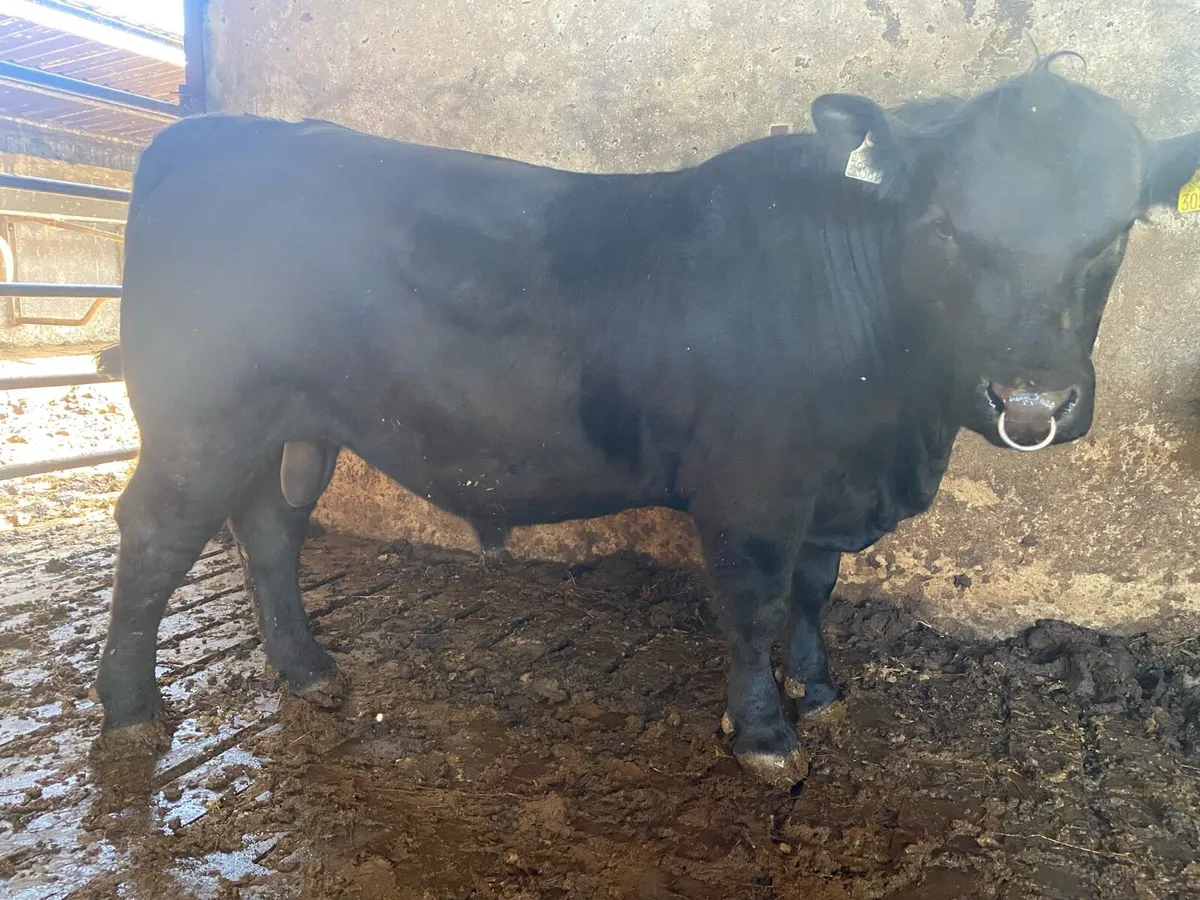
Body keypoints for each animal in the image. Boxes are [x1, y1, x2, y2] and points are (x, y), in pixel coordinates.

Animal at [91, 55, 1200, 786]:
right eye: (943, 226)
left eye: (1112, 237)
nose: (1032, 403)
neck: (894, 433)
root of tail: (213, 131)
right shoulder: (753, 486)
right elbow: (755, 605)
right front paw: (765, 736)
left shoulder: (826, 486)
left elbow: (815, 593)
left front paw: (822, 692)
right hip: (199, 413)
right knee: (155, 535)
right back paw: (131, 710)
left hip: (296, 420)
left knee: (270, 527)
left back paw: (308, 669)